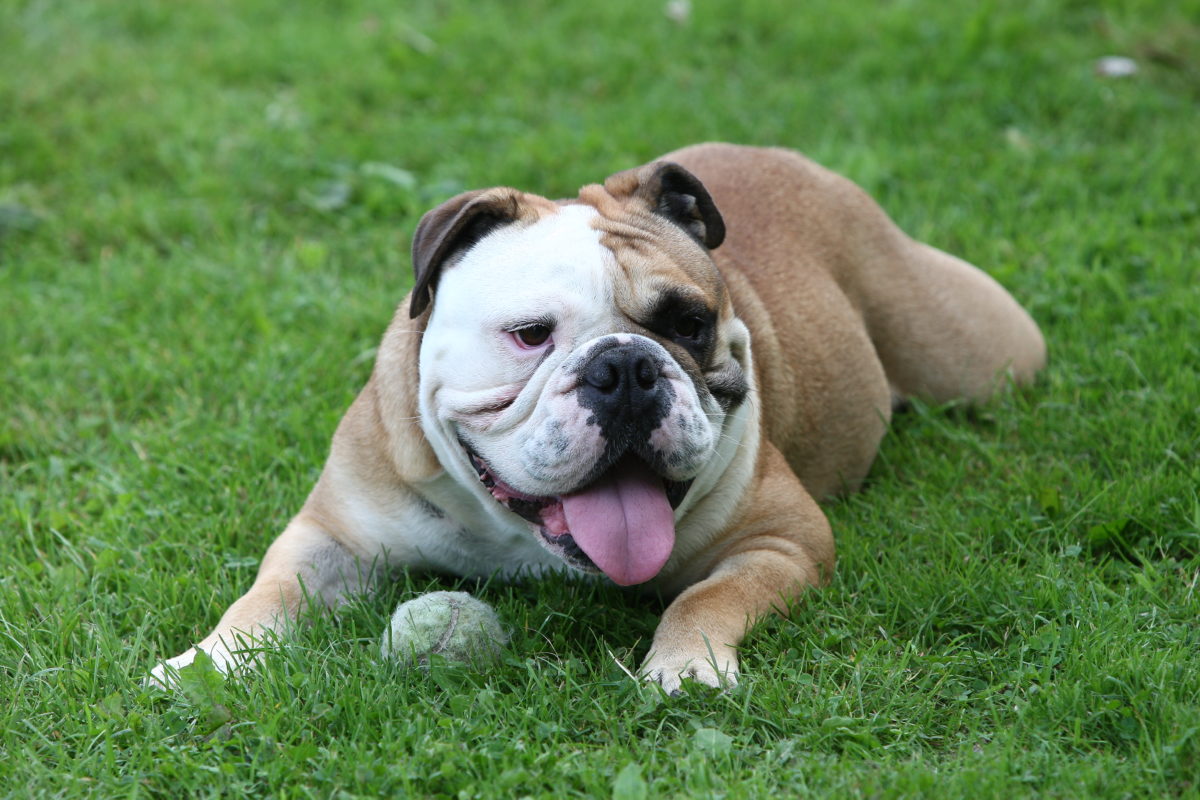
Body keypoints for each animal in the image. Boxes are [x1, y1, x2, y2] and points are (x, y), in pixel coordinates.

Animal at [150, 143, 1045, 692]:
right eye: (529, 335)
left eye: (689, 323)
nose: (625, 368)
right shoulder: (331, 536)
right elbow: (264, 598)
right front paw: (205, 663)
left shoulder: (782, 540)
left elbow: (706, 599)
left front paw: (685, 669)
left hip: (982, 355)